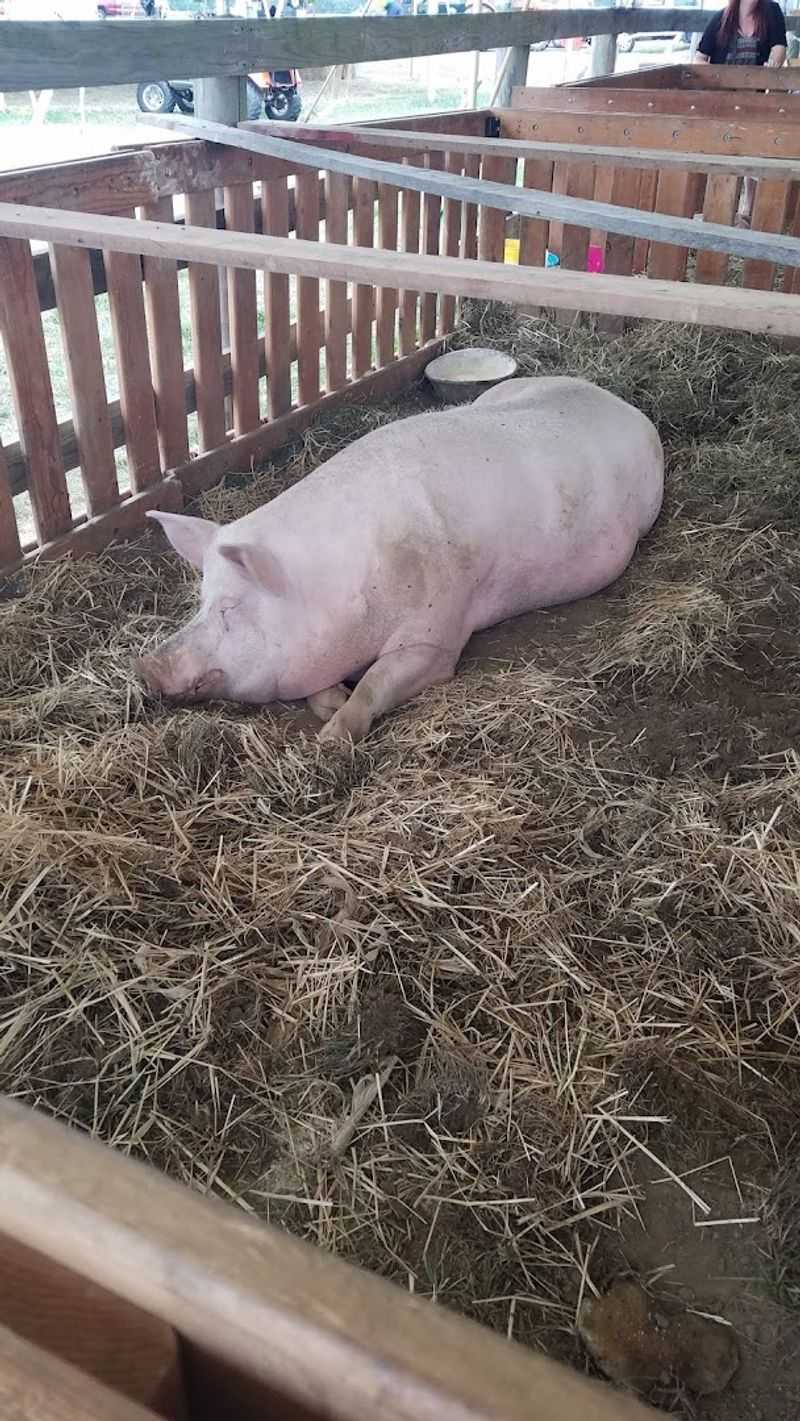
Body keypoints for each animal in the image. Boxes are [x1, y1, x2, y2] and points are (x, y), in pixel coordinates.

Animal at [137, 376, 663, 742]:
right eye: (201, 601)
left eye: (230, 608)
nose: (147, 665)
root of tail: (621, 403)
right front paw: (332, 703)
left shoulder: (438, 633)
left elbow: (376, 682)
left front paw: (331, 738)